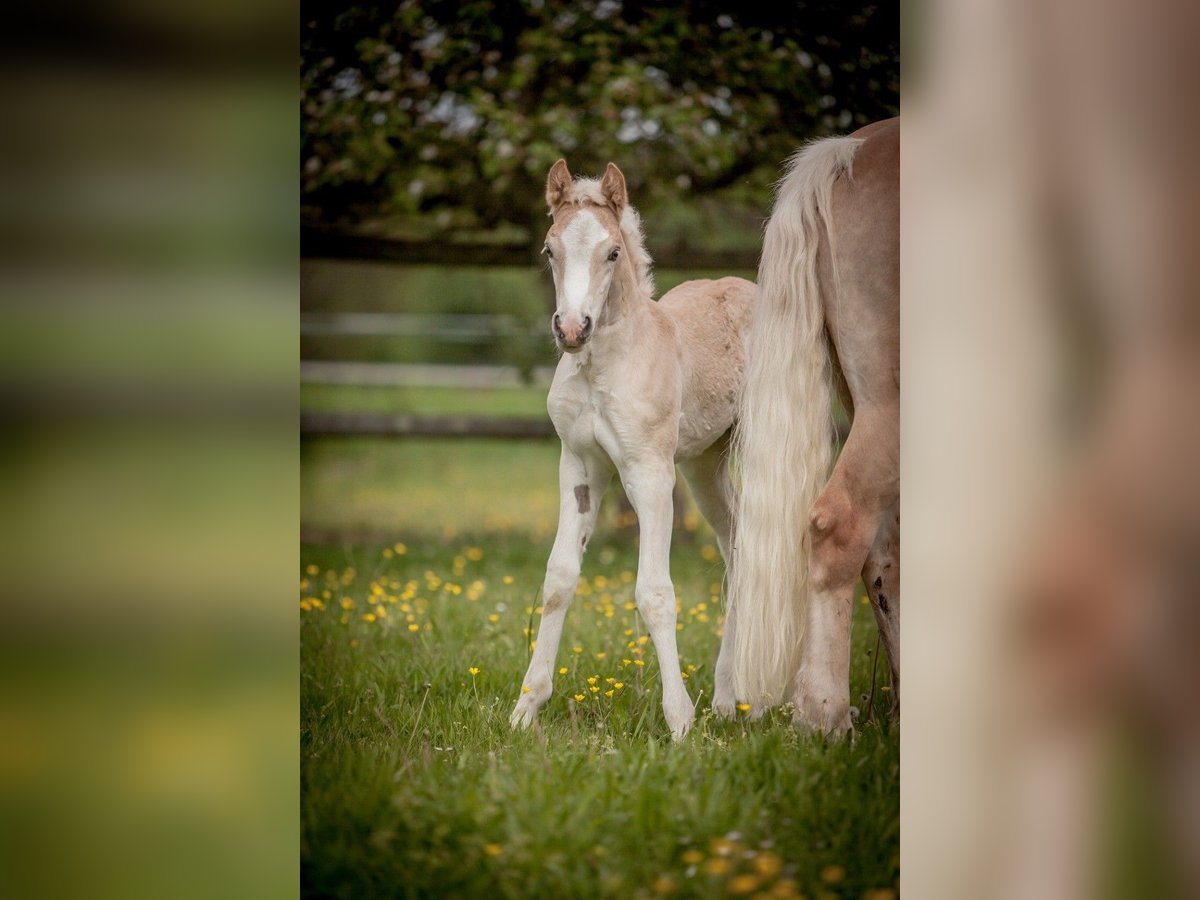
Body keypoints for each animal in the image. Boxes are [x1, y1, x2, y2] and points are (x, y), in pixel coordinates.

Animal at [508, 160, 753, 739]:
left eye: (612, 252)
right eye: (549, 249)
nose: (572, 329)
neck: (603, 365)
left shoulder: (649, 472)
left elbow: (655, 592)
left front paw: (680, 721)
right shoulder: (579, 466)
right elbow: (559, 578)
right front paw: (526, 708)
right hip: (705, 466)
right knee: (737, 547)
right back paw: (727, 699)